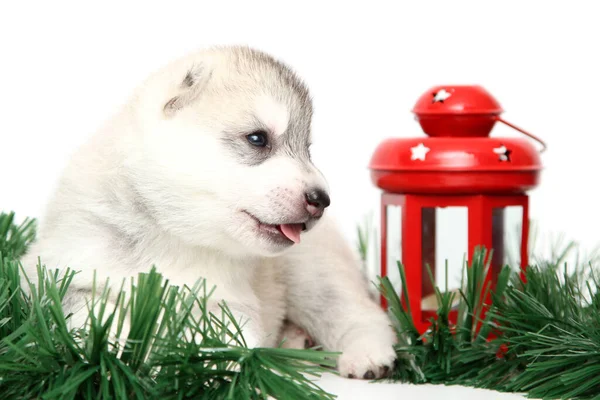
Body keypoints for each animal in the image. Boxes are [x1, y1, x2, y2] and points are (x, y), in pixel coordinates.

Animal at [22, 45, 398, 380]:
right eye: (258, 139)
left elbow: (224, 334)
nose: (321, 199)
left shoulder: (227, 302)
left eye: (306, 149)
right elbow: (96, 315)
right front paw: (118, 356)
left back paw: (368, 354)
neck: (174, 236)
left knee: (356, 314)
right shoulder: (62, 273)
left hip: (313, 275)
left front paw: (209, 365)